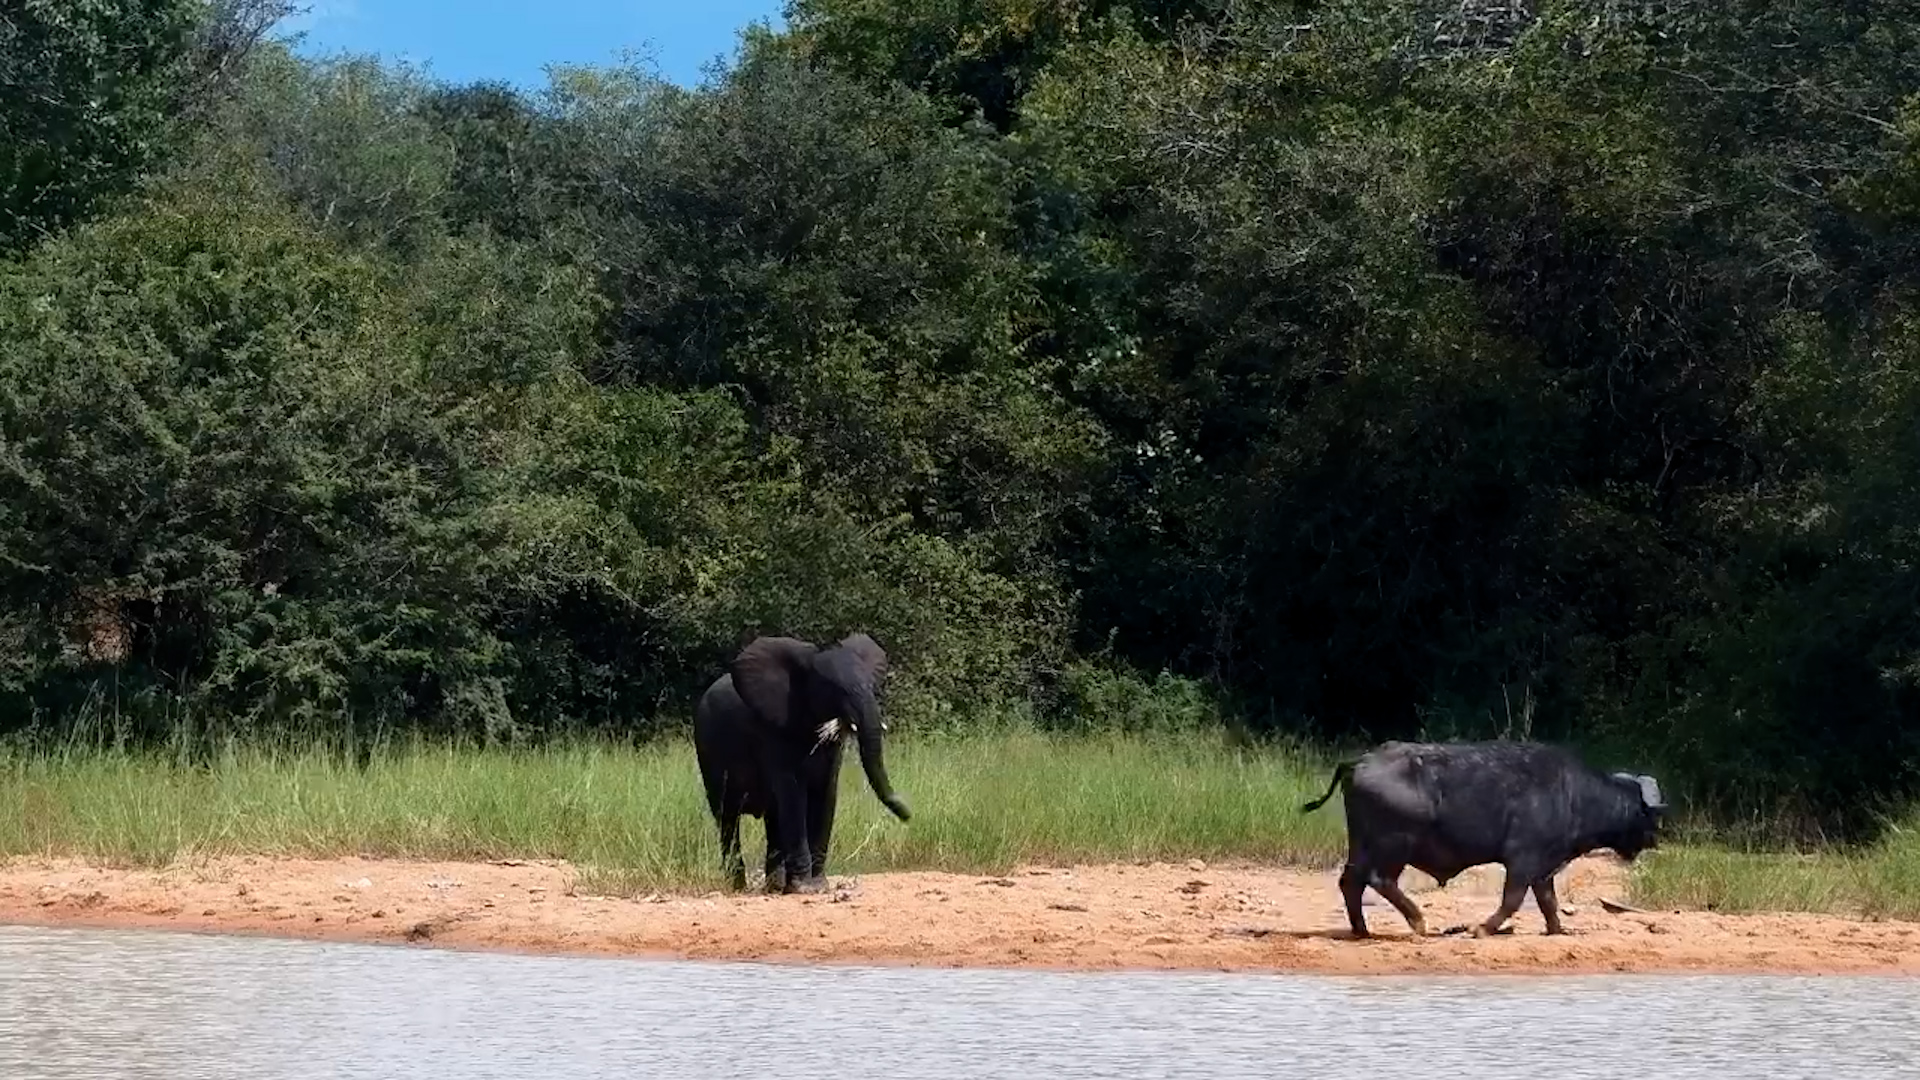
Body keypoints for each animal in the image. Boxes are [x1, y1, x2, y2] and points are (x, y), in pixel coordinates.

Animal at [693, 632, 911, 894]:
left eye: (872, 685)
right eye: (833, 689)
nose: (908, 815)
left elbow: (825, 792)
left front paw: (818, 885)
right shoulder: (772, 731)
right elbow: (792, 792)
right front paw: (804, 888)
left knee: (773, 818)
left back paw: (775, 888)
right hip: (708, 753)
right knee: (728, 819)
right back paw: (739, 888)